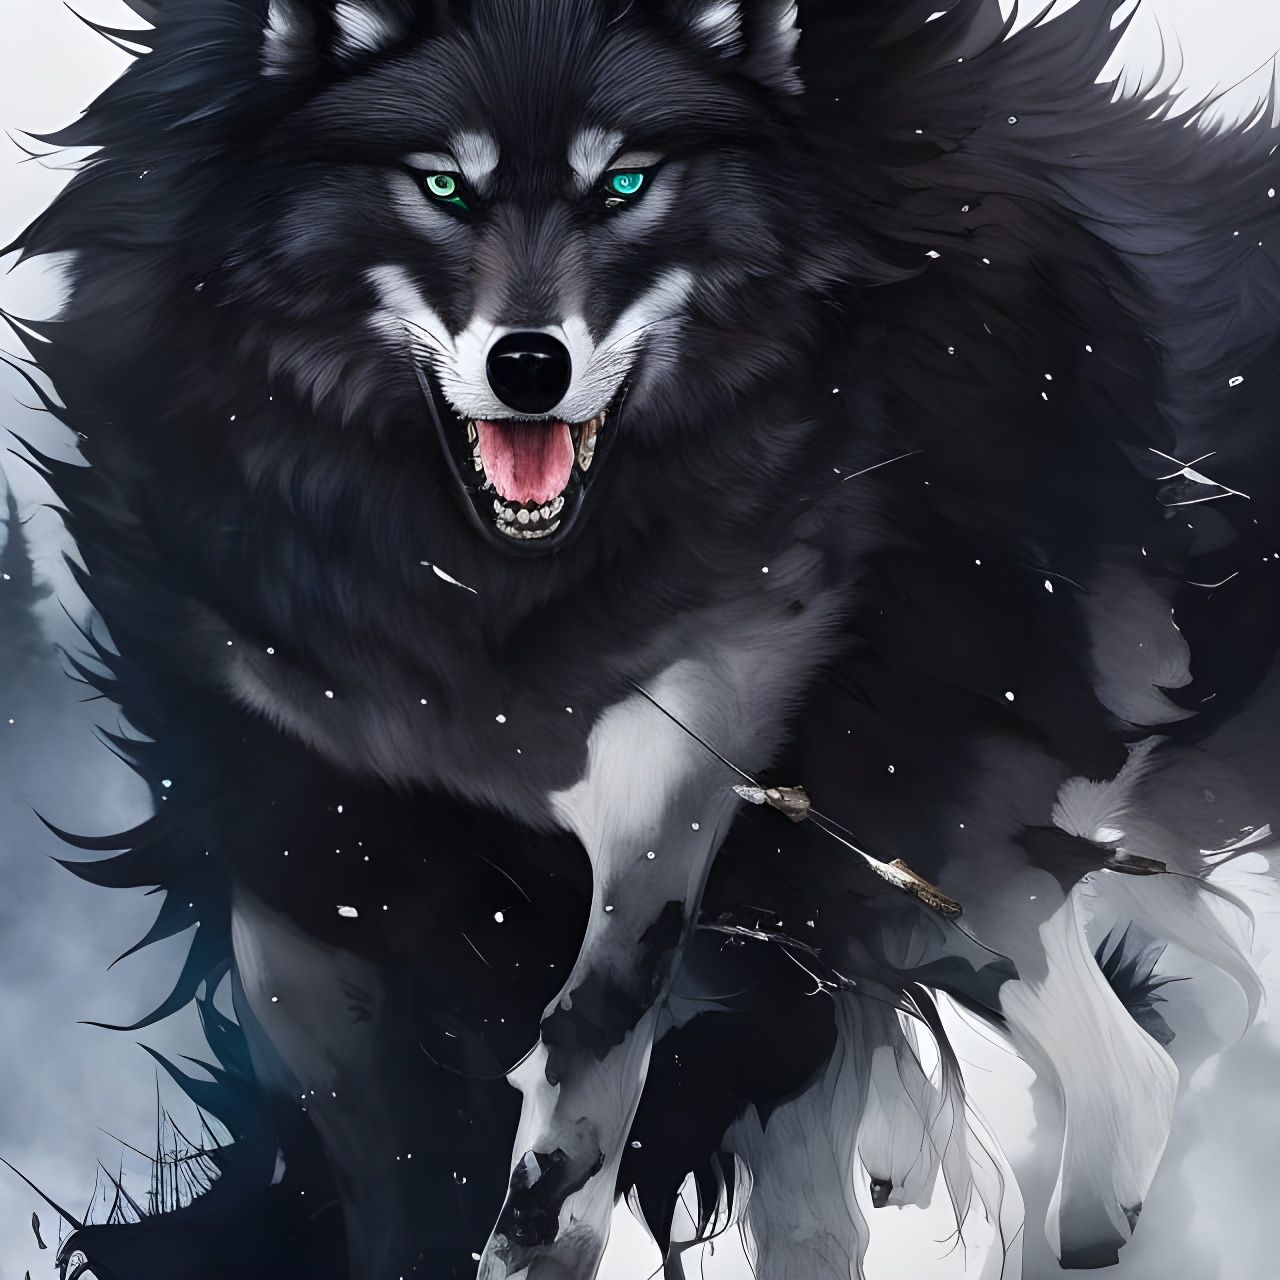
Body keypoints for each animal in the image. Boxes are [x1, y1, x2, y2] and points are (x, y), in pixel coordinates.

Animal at [8, 0, 1280, 1277]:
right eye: (441, 184)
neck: (477, 604)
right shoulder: (300, 867)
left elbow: (570, 1112)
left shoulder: (668, 783)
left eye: (622, 182)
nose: (529, 367)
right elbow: (378, 1166)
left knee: (1120, 1069)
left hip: (916, 834)